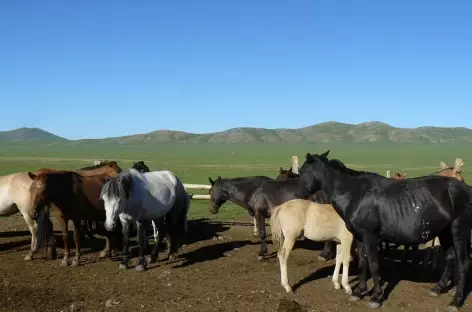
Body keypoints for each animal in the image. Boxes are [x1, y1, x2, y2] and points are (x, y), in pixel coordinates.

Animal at [298, 150, 472, 310]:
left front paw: (376, 296)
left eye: (302, 172)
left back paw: (456, 301)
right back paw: (438, 288)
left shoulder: (370, 236)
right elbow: (363, 261)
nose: (299, 194)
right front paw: (359, 292)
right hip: (445, 232)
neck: (356, 194)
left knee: (463, 263)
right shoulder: (359, 237)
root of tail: (466, 188)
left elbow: (374, 263)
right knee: (450, 258)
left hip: (458, 231)